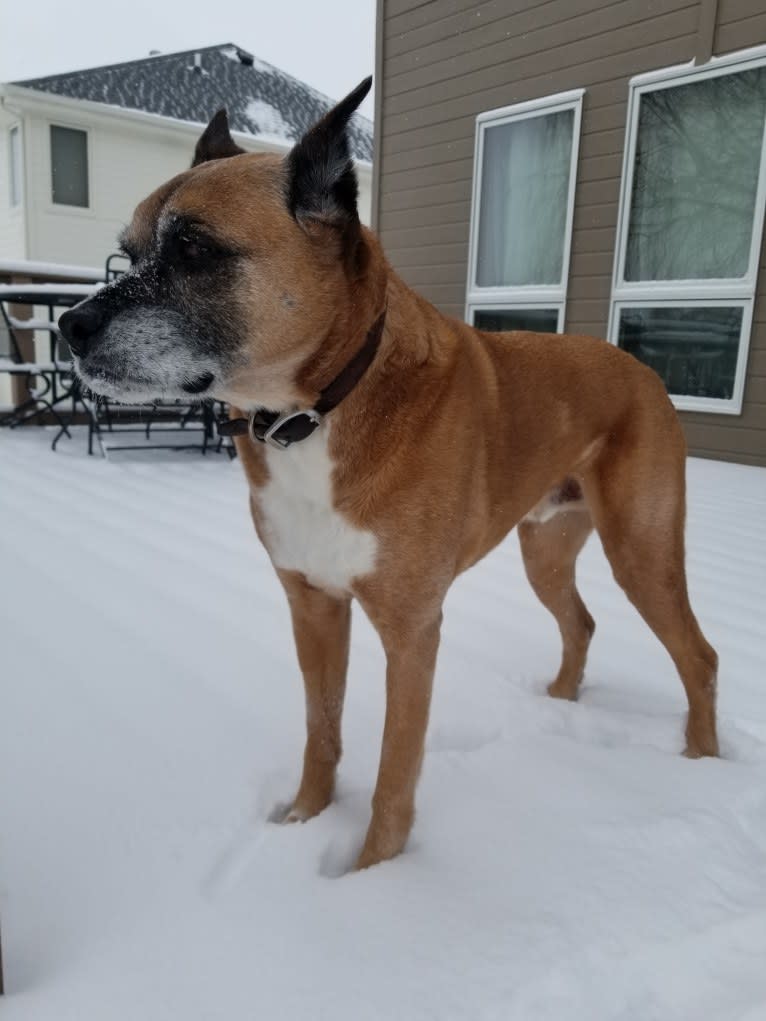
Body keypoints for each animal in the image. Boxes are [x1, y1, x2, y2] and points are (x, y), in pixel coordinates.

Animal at [60, 77, 719, 869]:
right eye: (125, 255)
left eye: (193, 248)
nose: (69, 326)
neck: (317, 409)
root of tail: (643, 370)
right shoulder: (312, 604)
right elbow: (322, 730)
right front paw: (303, 821)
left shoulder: (410, 629)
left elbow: (394, 772)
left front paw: (370, 874)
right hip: (546, 547)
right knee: (582, 622)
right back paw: (560, 704)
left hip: (640, 550)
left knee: (699, 656)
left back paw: (702, 762)